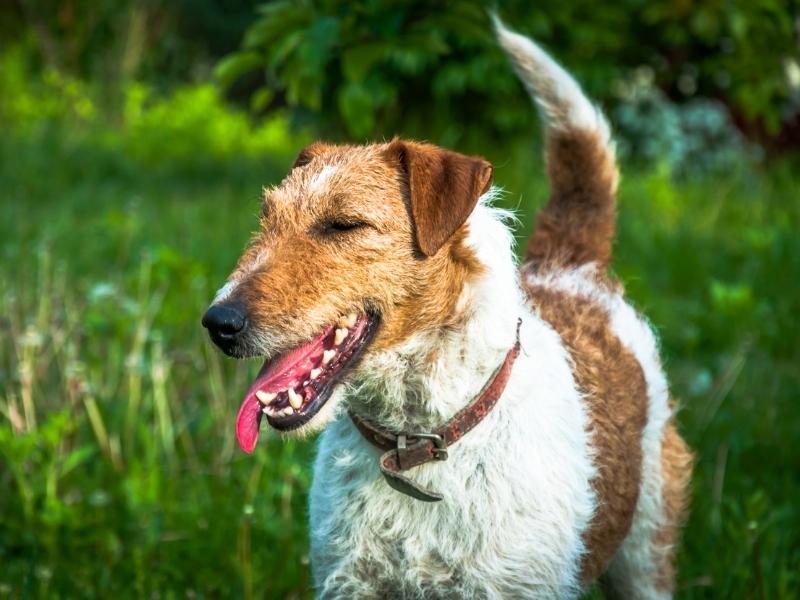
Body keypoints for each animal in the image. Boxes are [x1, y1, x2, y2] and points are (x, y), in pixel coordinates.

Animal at [205, 19, 692, 600]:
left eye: (344, 224)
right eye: (266, 218)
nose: (218, 323)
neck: (415, 439)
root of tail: (572, 267)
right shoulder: (349, 581)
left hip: (645, 550)